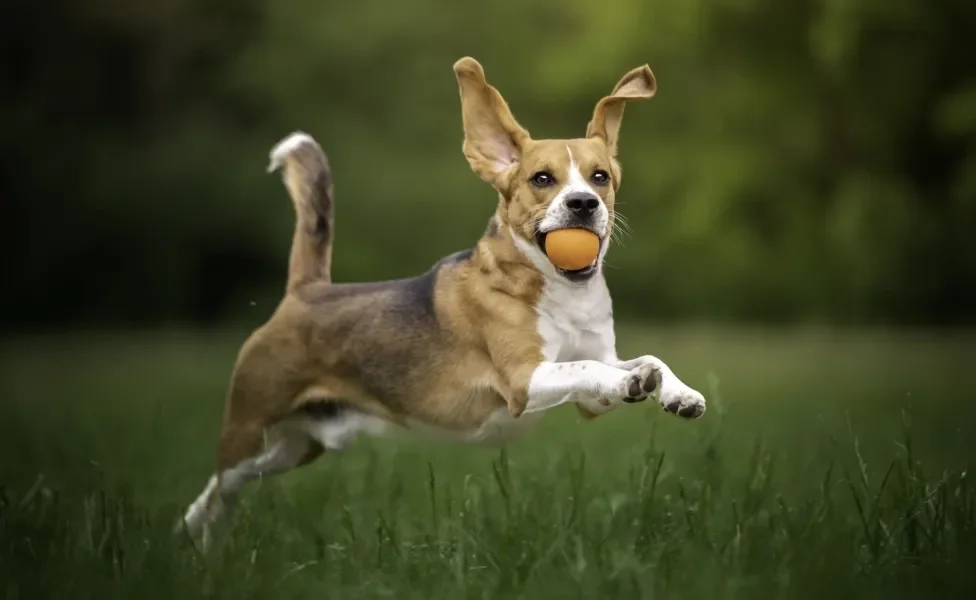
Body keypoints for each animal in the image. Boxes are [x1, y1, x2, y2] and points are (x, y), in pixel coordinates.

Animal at [179, 56, 704, 548]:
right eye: (542, 179)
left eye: (600, 177)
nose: (583, 204)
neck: (558, 289)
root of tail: (305, 292)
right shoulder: (525, 380)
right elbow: (586, 368)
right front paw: (638, 383)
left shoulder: (593, 393)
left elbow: (637, 362)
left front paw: (675, 392)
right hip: (249, 430)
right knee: (213, 493)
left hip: (293, 446)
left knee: (217, 495)